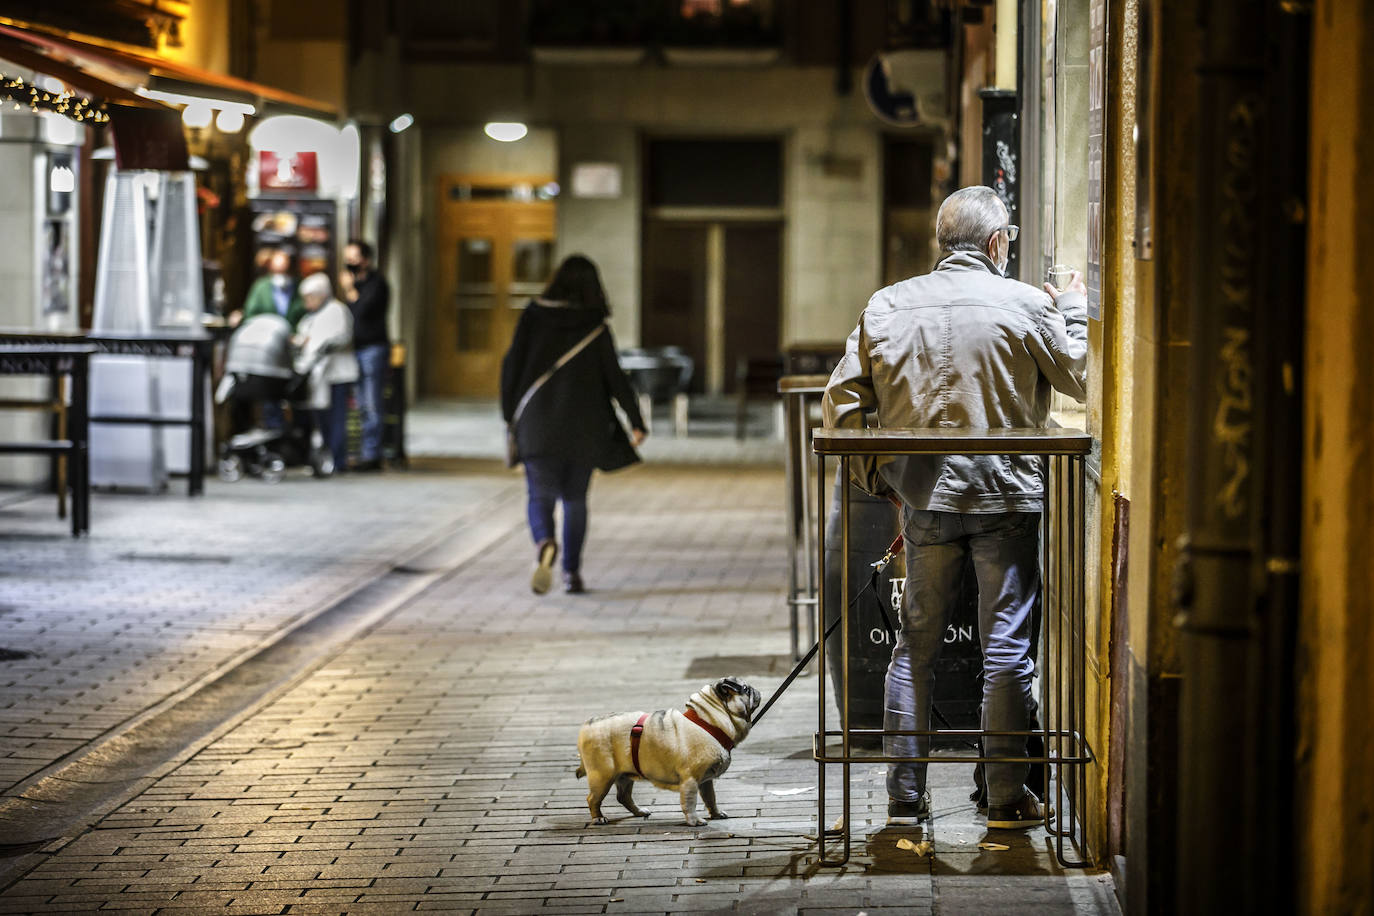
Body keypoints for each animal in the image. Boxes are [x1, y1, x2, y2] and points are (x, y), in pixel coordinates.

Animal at [571, 678, 763, 829]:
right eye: (745, 689)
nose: (756, 691)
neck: (709, 722)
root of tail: (586, 726)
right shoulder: (691, 780)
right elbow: (690, 803)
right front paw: (694, 821)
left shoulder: (706, 782)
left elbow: (710, 798)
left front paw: (715, 814)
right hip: (602, 777)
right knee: (593, 799)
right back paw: (598, 818)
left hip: (624, 775)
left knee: (623, 796)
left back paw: (639, 812)